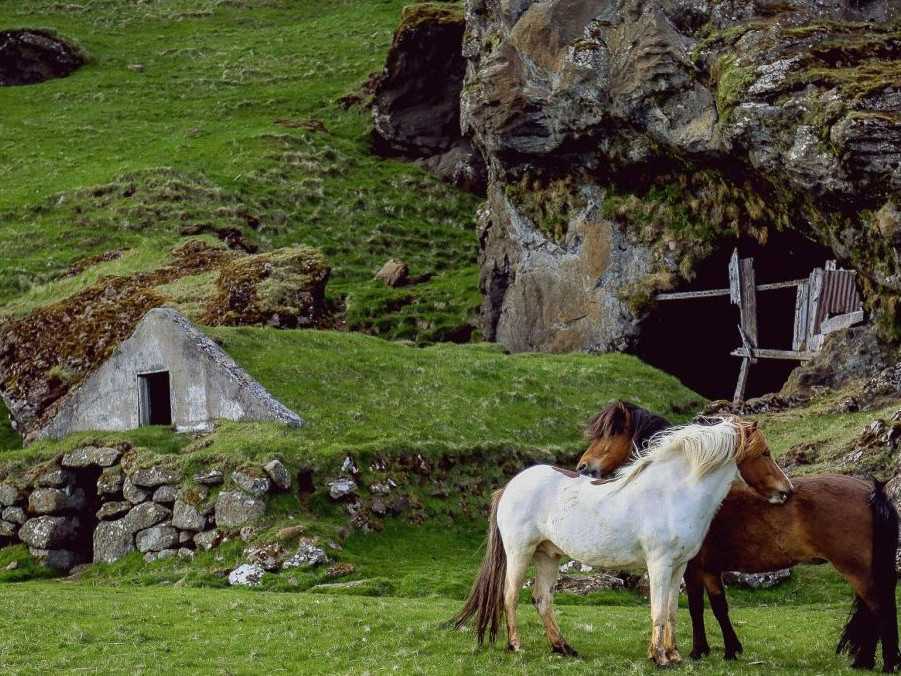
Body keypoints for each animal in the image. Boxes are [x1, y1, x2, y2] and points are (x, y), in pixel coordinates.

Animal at [454, 418, 792, 664]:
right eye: (764, 453)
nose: (786, 491)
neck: (673, 494)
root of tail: (509, 486)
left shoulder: (679, 567)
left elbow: (671, 610)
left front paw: (673, 655)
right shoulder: (659, 564)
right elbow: (658, 610)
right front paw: (659, 658)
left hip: (548, 556)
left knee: (542, 599)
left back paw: (563, 648)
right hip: (519, 553)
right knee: (510, 596)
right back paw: (516, 646)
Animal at [576, 402, 900, 672]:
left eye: (610, 434)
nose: (582, 467)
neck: (684, 488)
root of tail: (873, 491)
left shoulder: (694, 567)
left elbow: (698, 606)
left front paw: (700, 650)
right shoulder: (708, 569)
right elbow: (718, 606)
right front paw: (729, 650)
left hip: (856, 570)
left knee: (880, 608)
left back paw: (886, 664)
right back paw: (864, 661)